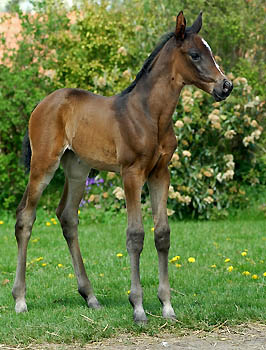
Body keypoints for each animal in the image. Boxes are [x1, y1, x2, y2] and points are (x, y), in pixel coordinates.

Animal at [13, 10, 233, 322]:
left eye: (210, 51)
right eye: (195, 54)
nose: (226, 86)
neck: (150, 115)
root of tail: (43, 103)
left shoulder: (160, 173)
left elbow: (162, 234)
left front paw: (167, 306)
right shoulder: (131, 173)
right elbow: (135, 235)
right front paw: (138, 307)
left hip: (78, 169)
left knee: (67, 216)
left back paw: (90, 296)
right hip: (44, 164)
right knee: (25, 217)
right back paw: (20, 299)